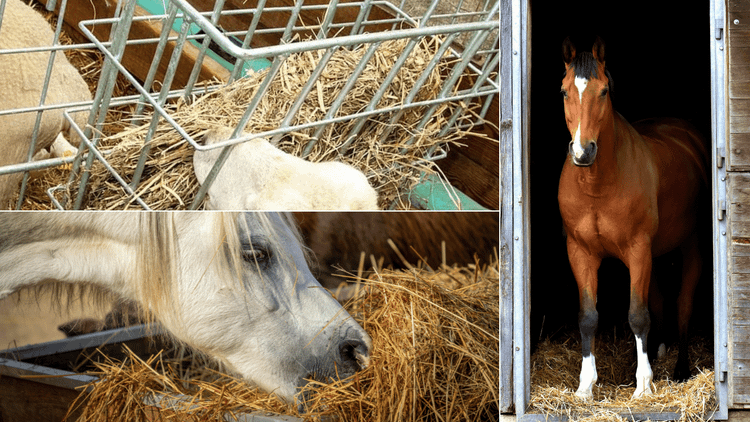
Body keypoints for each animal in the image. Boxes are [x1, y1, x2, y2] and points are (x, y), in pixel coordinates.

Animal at [557, 37, 708, 399]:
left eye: (603, 91)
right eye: (564, 91)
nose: (583, 151)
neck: (598, 185)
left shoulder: (638, 250)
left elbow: (638, 315)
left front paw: (643, 385)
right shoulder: (580, 252)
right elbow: (588, 316)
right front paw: (585, 386)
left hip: (689, 246)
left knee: (683, 303)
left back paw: (680, 369)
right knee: (661, 300)